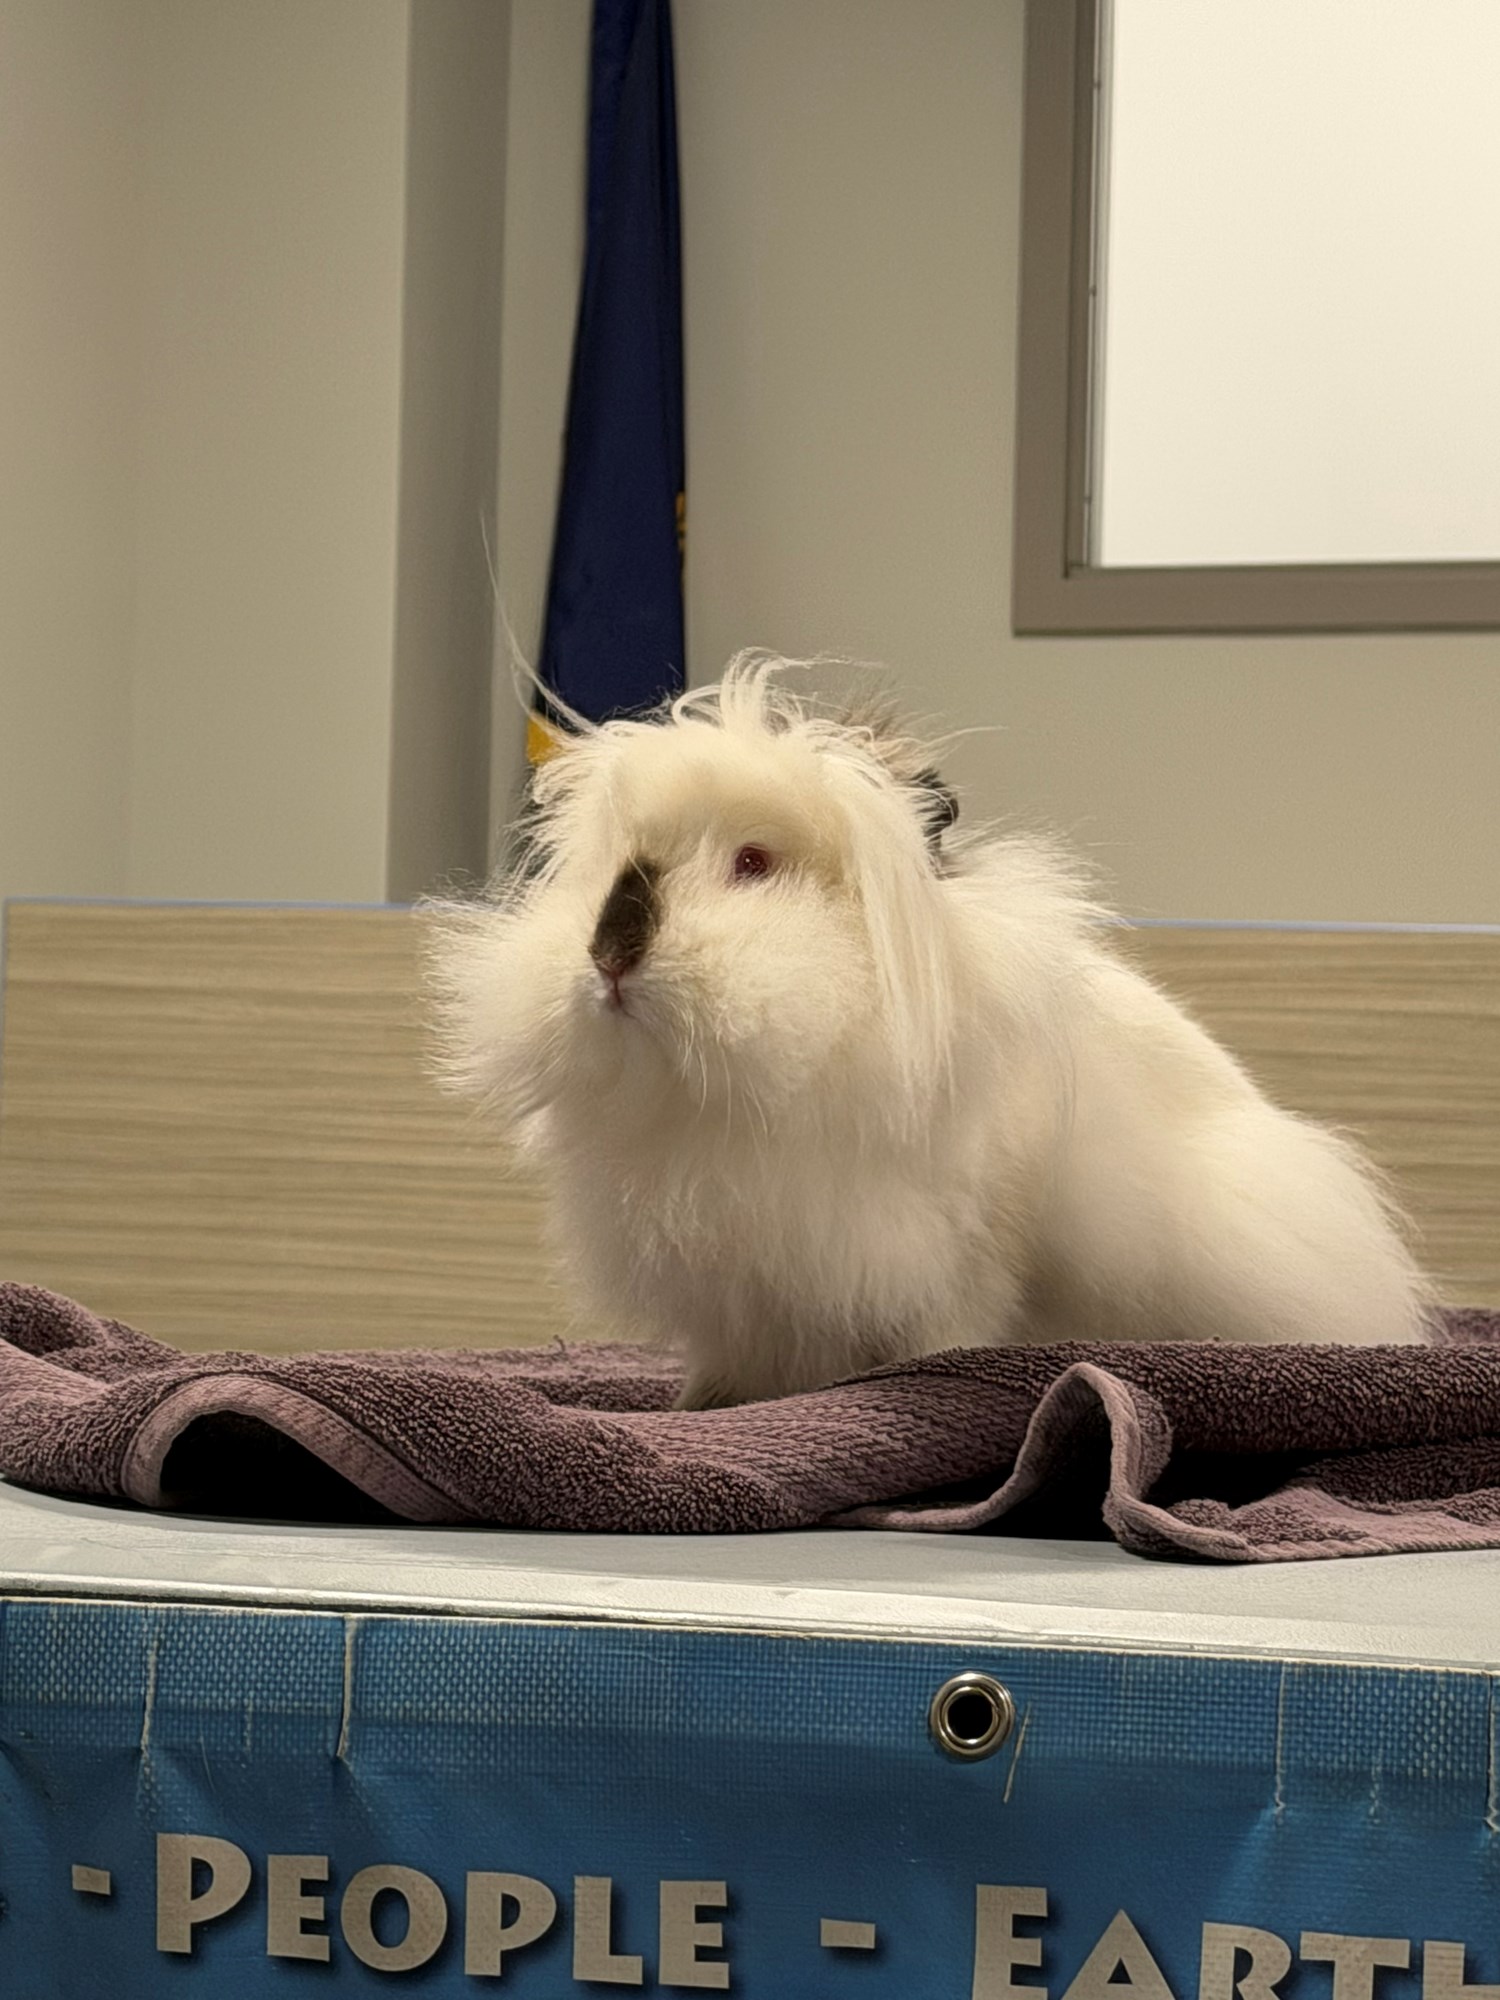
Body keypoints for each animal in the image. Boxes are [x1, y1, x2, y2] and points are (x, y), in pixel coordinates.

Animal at [427, 654, 1432, 1408]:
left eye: (752, 863)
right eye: (615, 864)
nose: (609, 955)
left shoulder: (958, 1250)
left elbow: (948, 1332)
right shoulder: (739, 1284)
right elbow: (730, 1364)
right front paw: (697, 1407)